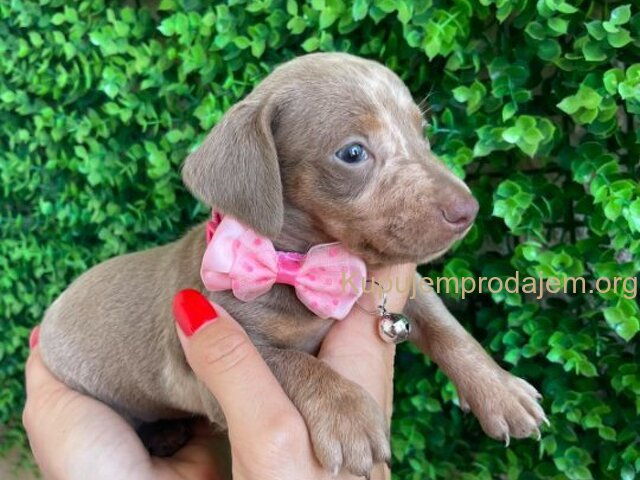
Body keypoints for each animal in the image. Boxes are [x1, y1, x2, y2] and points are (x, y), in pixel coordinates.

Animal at [39, 53, 546, 477]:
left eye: (424, 135)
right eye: (353, 153)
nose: (468, 211)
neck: (300, 266)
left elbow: (447, 328)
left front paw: (500, 390)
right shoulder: (205, 372)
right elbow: (291, 363)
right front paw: (346, 416)